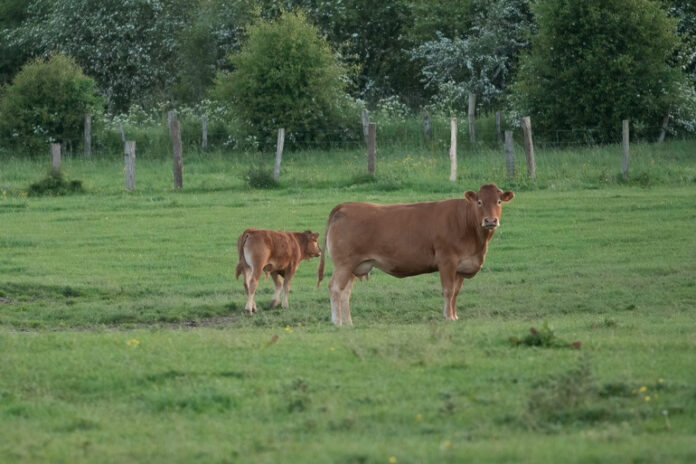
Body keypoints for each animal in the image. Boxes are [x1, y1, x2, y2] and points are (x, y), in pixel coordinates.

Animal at [316, 184, 514, 325]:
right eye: (479, 202)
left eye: (499, 202)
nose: (490, 220)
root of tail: (346, 206)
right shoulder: (447, 261)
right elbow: (448, 290)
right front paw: (448, 317)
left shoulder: (461, 265)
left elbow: (456, 292)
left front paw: (455, 316)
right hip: (343, 264)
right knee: (335, 288)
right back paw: (337, 322)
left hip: (355, 265)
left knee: (345, 292)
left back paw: (349, 322)